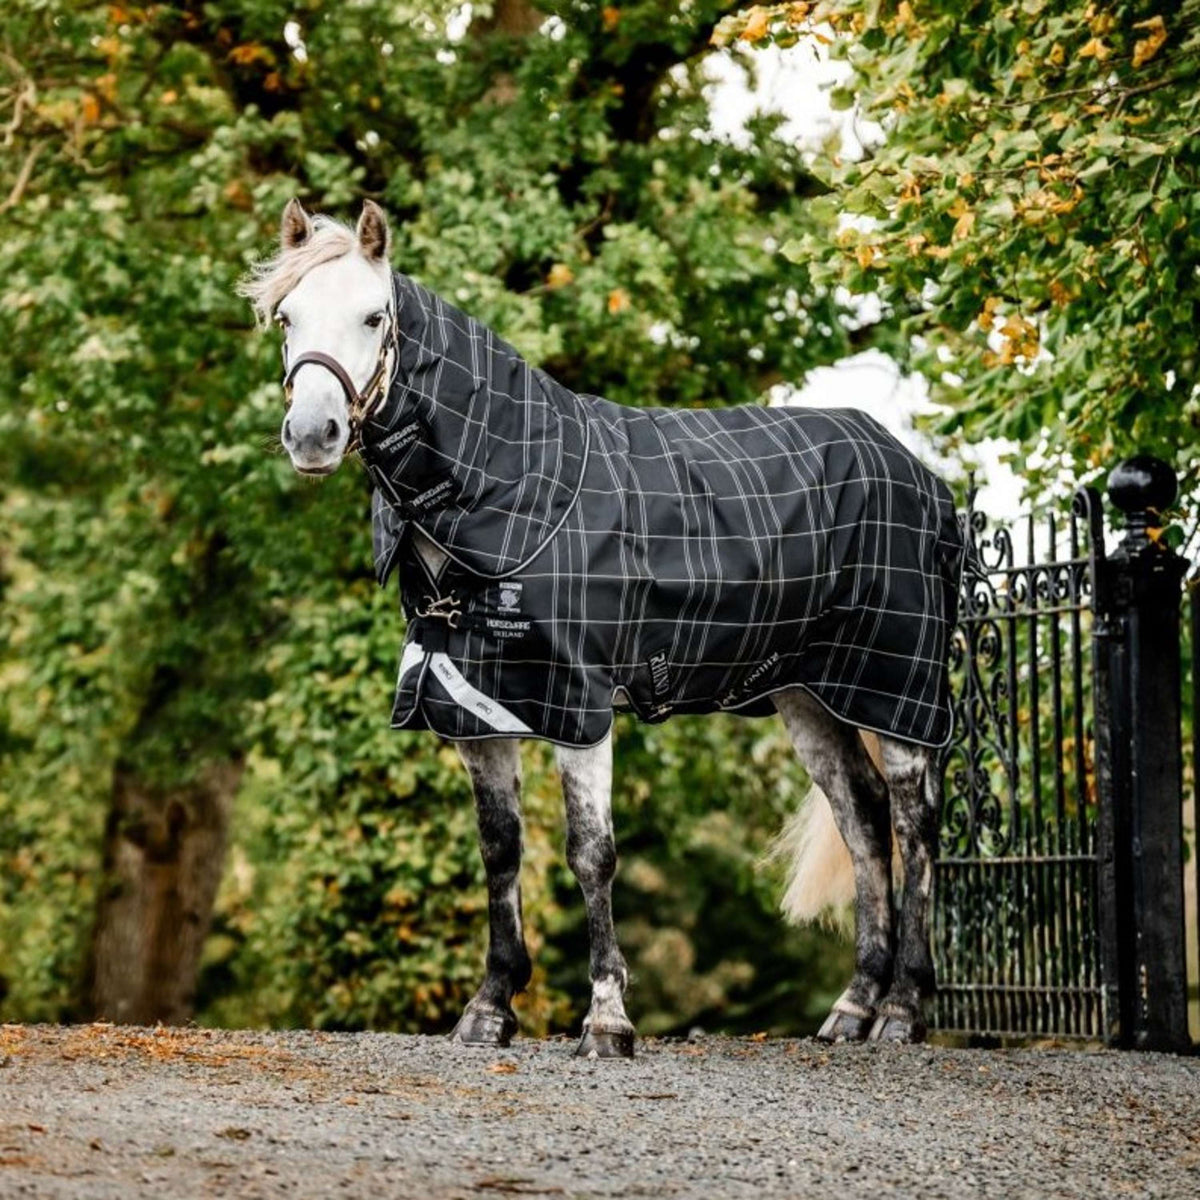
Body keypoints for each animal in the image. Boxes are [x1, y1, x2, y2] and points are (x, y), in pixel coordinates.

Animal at [239, 199, 963, 1057]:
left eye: (374, 316)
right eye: (286, 317)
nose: (311, 434)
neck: (515, 488)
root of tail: (921, 477)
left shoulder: (578, 707)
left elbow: (592, 854)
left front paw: (608, 1019)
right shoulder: (478, 707)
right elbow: (500, 851)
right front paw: (490, 1009)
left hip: (896, 685)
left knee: (915, 822)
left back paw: (903, 1010)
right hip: (808, 696)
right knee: (863, 819)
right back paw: (852, 1008)